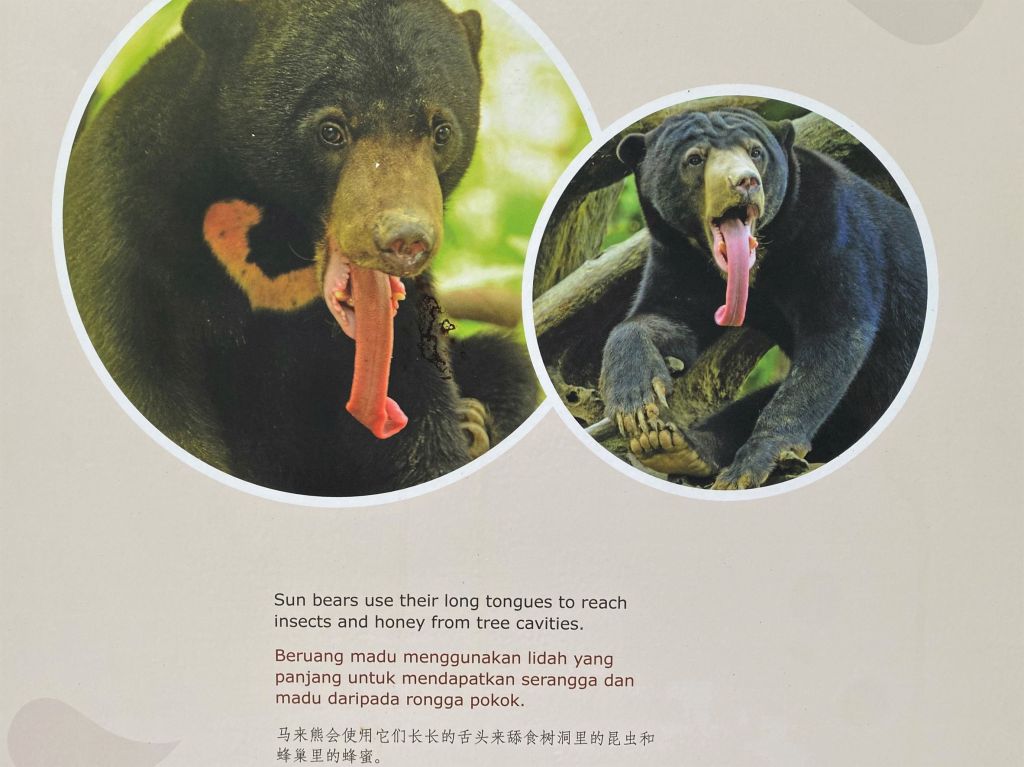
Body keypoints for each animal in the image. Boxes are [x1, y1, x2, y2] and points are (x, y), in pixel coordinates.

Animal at [64, 0, 538, 496]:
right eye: (331, 130)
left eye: (441, 131)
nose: (405, 239)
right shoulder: (130, 234)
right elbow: (147, 381)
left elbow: (415, 401)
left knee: (508, 364)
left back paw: (476, 423)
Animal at [600, 107, 927, 490]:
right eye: (695, 159)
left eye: (756, 152)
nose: (745, 182)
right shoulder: (678, 257)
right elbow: (666, 317)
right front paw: (637, 405)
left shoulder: (835, 228)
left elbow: (834, 336)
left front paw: (750, 466)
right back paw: (673, 445)